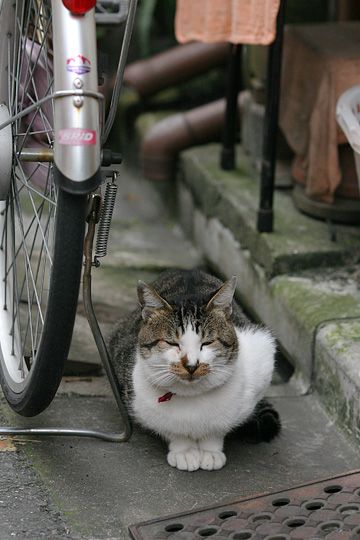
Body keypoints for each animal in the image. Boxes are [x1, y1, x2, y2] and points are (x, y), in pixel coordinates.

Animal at [108, 268, 280, 470]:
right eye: (172, 343)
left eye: (207, 342)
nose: (191, 365)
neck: (192, 398)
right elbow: (172, 431)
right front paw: (185, 451)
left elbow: (217, 431)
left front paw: (210, 451)